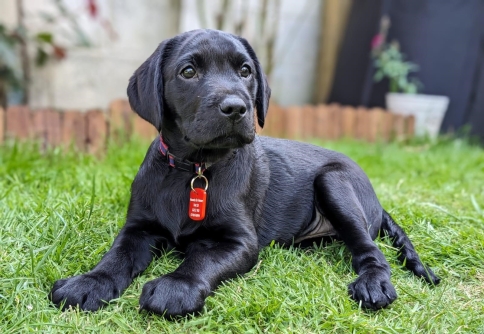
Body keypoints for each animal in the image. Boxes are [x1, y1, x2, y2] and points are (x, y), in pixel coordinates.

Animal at [49, 30, 438, 318]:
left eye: (246, 71)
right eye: (188, 71)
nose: (236, 107)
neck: (196, 170)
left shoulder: (240, 242)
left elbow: (202, 259)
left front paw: (176, 287)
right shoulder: (138, 228)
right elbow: (117, 256)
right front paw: (90, 282)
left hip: (335, 182)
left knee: (370, 250)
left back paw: (374, 285)